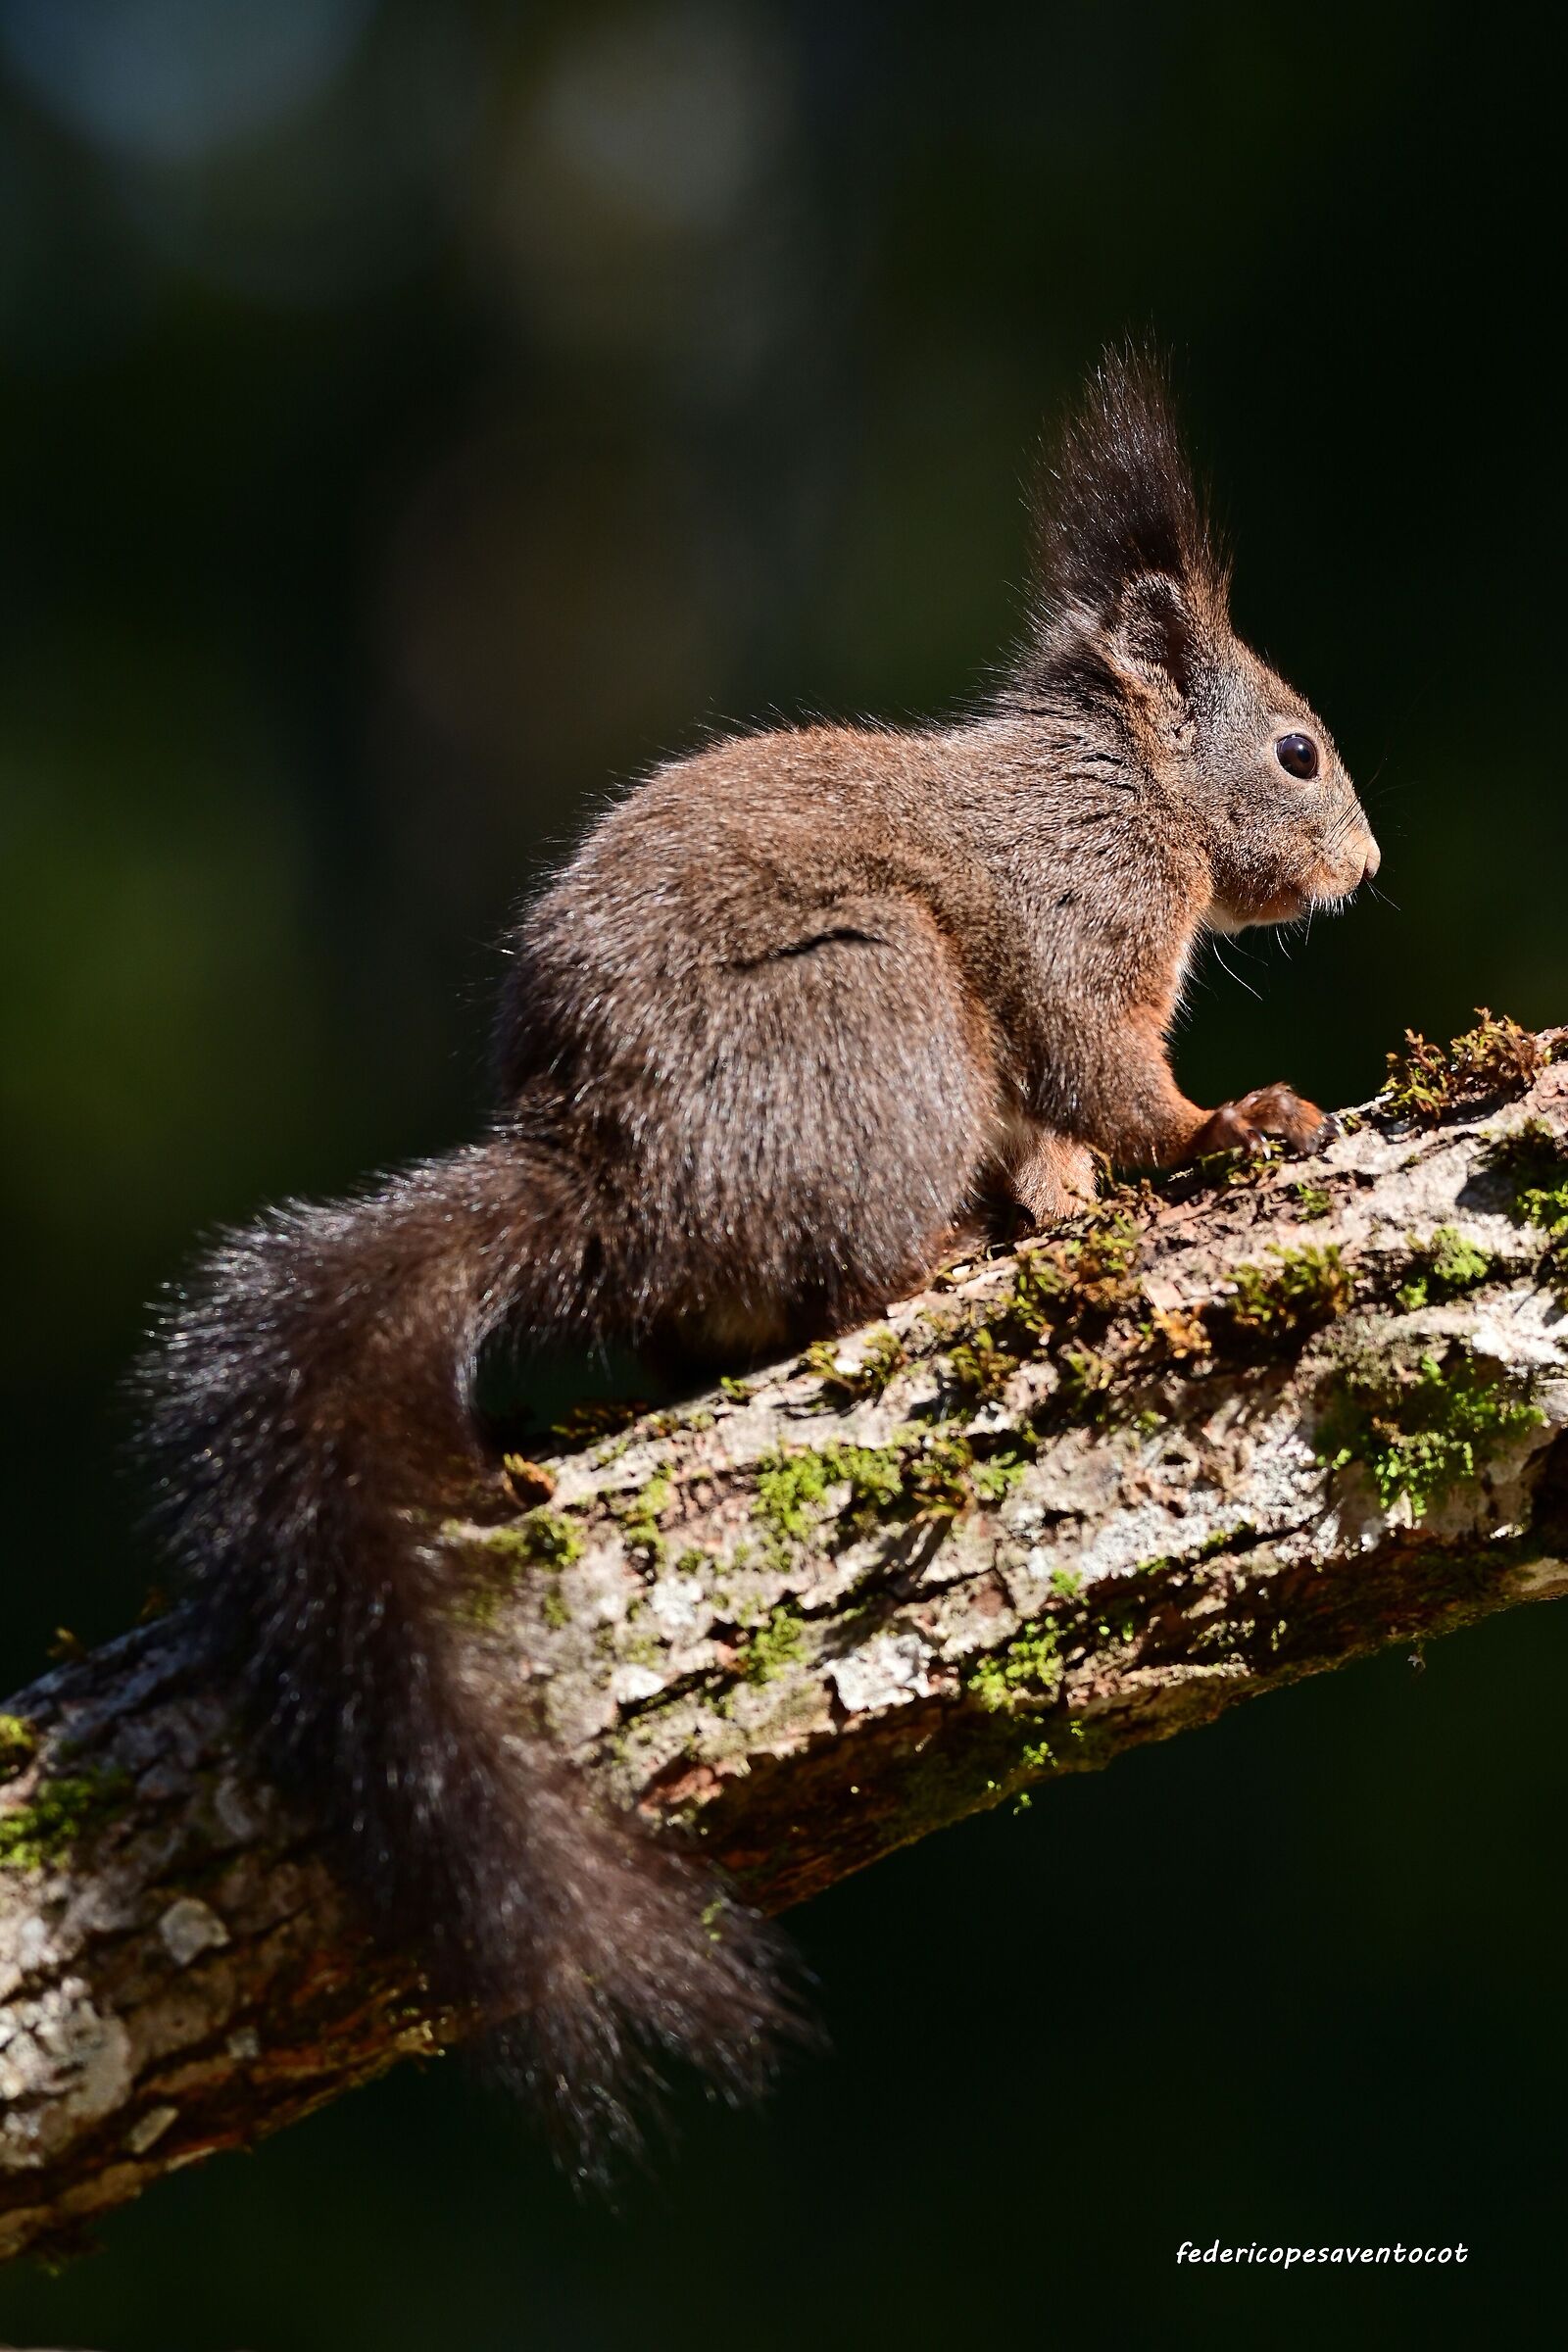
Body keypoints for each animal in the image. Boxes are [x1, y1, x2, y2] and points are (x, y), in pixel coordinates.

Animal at [140, 348, 1379, 2166]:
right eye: (1296, 751)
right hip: (881, 1009)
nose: (1366, 867)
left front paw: (1077, 1191)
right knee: (832, 1277)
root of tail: (623, 1182)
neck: (1124, 784)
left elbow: (1065, 1130)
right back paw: (934, 1252)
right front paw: (1231, 1126)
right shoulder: (1078, 931)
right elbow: (1110, 1078)